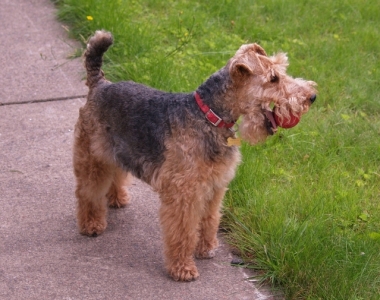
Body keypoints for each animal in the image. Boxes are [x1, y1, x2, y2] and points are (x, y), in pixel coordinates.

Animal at [72, 30, 316, 282]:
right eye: (274, 78)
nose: (312, 96)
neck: (209, 116)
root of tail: (100, 84)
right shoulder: (184, 192)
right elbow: (184, 231)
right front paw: (182, 267)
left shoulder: (215, 186)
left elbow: (209, 220)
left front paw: (206, 248)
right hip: (92, 156)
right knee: (86, 192)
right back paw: (91, 224)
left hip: (117, 151)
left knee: (115, 174)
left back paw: (117, 198)